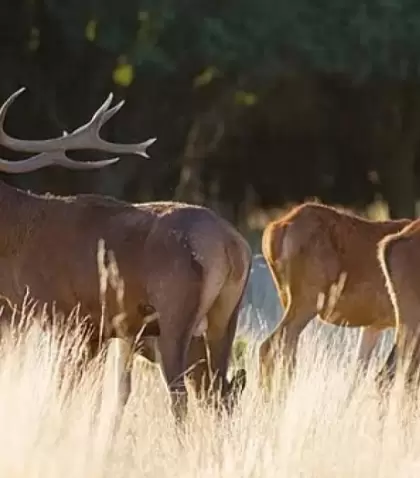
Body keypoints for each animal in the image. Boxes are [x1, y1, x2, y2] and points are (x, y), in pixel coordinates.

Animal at [0, 88, 249, 420]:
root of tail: (231, 245)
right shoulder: (101, 329)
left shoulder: (67, 315)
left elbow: (64, 390)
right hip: (225, 316)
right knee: (219, 391)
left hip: (175, 312)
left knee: (181, 395)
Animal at [260, 202, 410, 392]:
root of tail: (275, 229)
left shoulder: (374, 324)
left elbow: (359, 372)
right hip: (307, 298)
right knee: (271, 346)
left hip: (287, 297)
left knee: (287, 352)